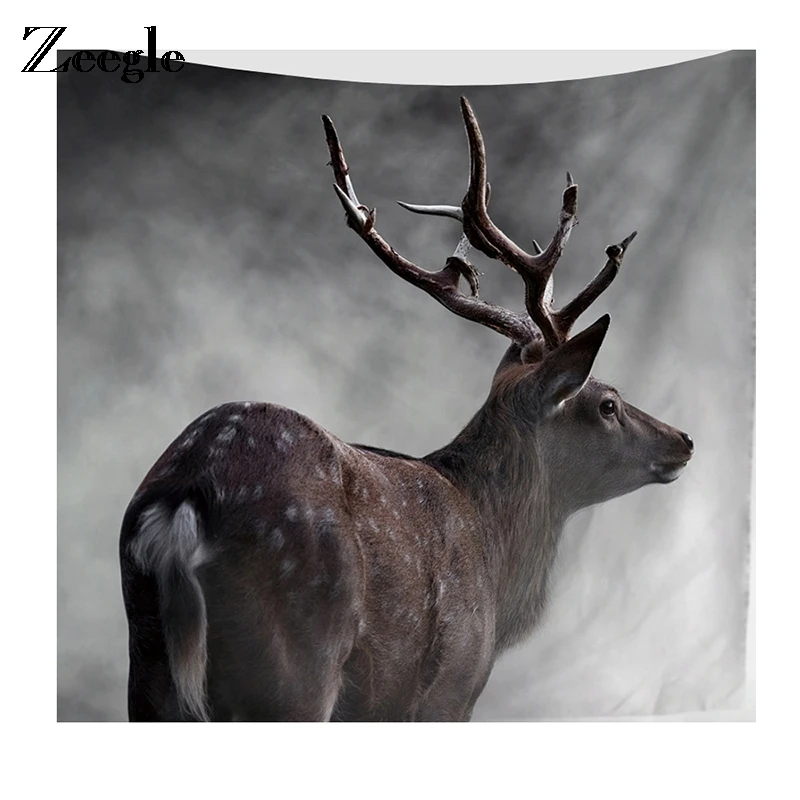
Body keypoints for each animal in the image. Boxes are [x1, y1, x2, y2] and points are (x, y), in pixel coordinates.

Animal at [119, 97, 694, 722]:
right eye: (607, 403)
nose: (684, 439)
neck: (496, 564)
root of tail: (186, 495)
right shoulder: (453, 683)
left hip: (147, 664)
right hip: (290, 660)